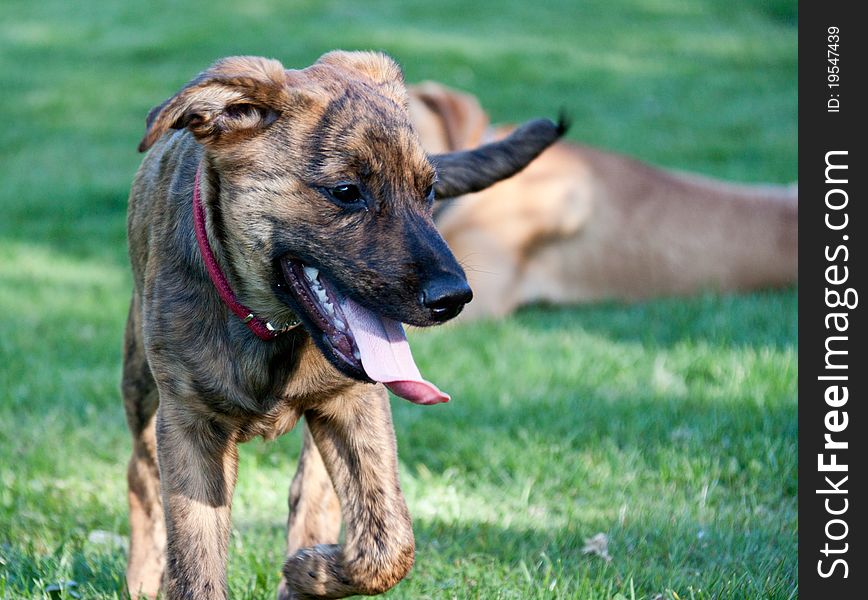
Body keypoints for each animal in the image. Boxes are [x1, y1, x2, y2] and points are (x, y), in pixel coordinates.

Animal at [124, 51, 564, 600]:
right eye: (347, 192)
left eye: (429, 190)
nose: (454, 298)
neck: (268, 327)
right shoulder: (189, 426)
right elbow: (194, 568)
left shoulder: (357, 403)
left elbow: (388, 543)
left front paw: (307, 571)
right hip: (140, 384)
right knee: (140, 478)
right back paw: (142, 576)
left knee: (315, 499)